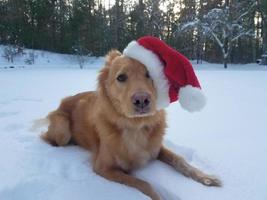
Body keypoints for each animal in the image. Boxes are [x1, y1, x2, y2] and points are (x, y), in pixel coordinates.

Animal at [42, 49, 222, 198]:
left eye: (150, 75)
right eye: (121, 77)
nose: (142, 100)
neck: (136, 126)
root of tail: (64, 100)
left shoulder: (157, 148)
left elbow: (180, 160)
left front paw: (206, 177)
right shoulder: (103, 168)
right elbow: (143, 183)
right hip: (62, 128)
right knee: (48, 137)